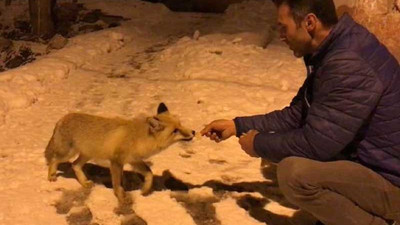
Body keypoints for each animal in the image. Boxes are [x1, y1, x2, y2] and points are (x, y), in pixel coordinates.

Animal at [45, 103, 195, 203]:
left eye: (180, 124)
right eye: (175, 131)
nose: (193, 132)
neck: (139, 139)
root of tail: (62, 118)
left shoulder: (134, 160)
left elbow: (149, 174)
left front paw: (145, 190)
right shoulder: (116, 161)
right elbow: (117, 183)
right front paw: (121, 197)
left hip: (87, 155)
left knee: (75, 165)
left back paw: (84, 183)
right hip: (67, 153)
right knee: (54, 160)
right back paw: (51, 176)